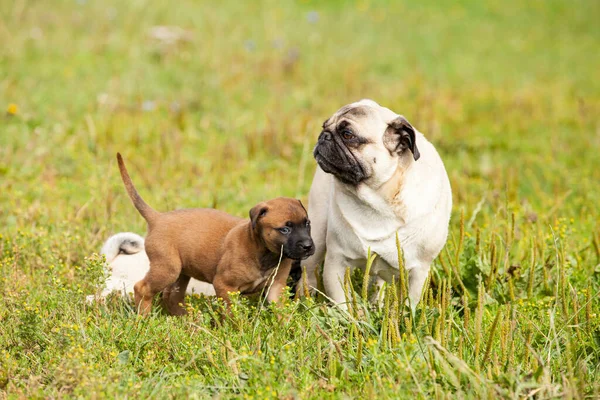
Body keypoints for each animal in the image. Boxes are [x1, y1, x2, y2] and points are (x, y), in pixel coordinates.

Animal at [115, 153, 316, 316]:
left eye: (307, 224)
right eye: (285, 229)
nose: (308, 246)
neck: (264, 252)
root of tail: (158, 218)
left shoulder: (276, 288)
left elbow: (282, 314)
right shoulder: (224, 286)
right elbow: (232, 314)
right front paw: (237, 330)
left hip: (181, 273)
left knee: (172, 296)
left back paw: (186, 320)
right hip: (167, 268)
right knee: (142, 288)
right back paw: (144, 319)